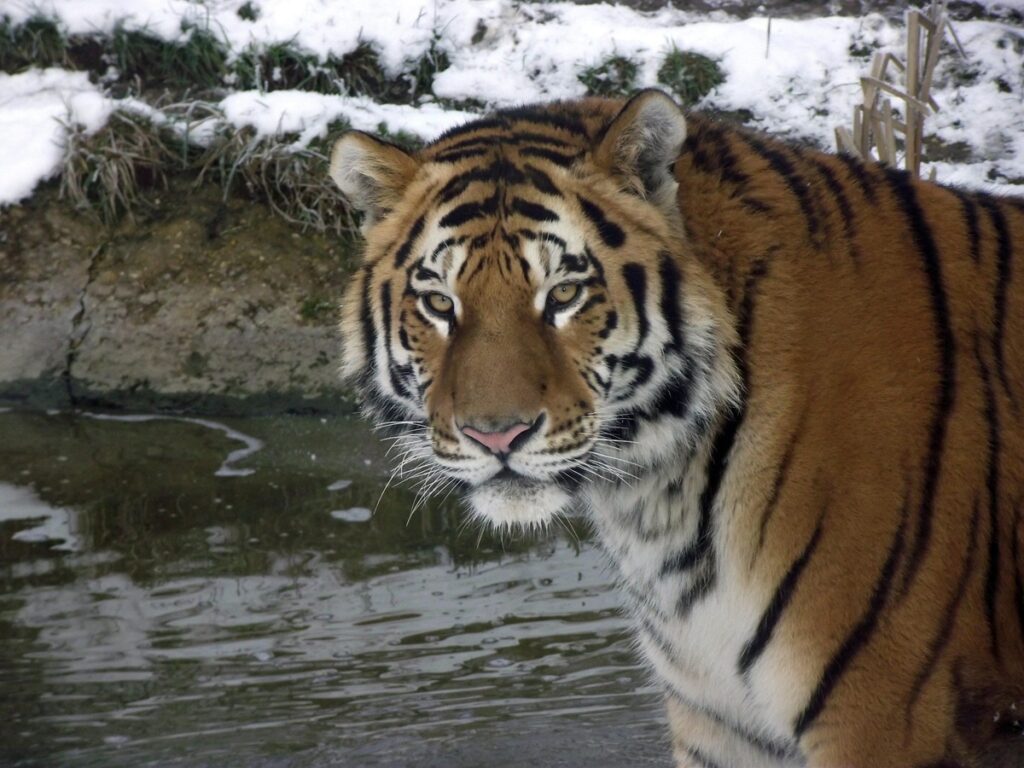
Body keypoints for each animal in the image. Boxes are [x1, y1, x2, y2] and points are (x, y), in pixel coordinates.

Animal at [327, 90, 1024, 768]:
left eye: (564, 295)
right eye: (439, 304)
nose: (496, 437)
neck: (661, 497)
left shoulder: (882, 716)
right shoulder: (720, 720)